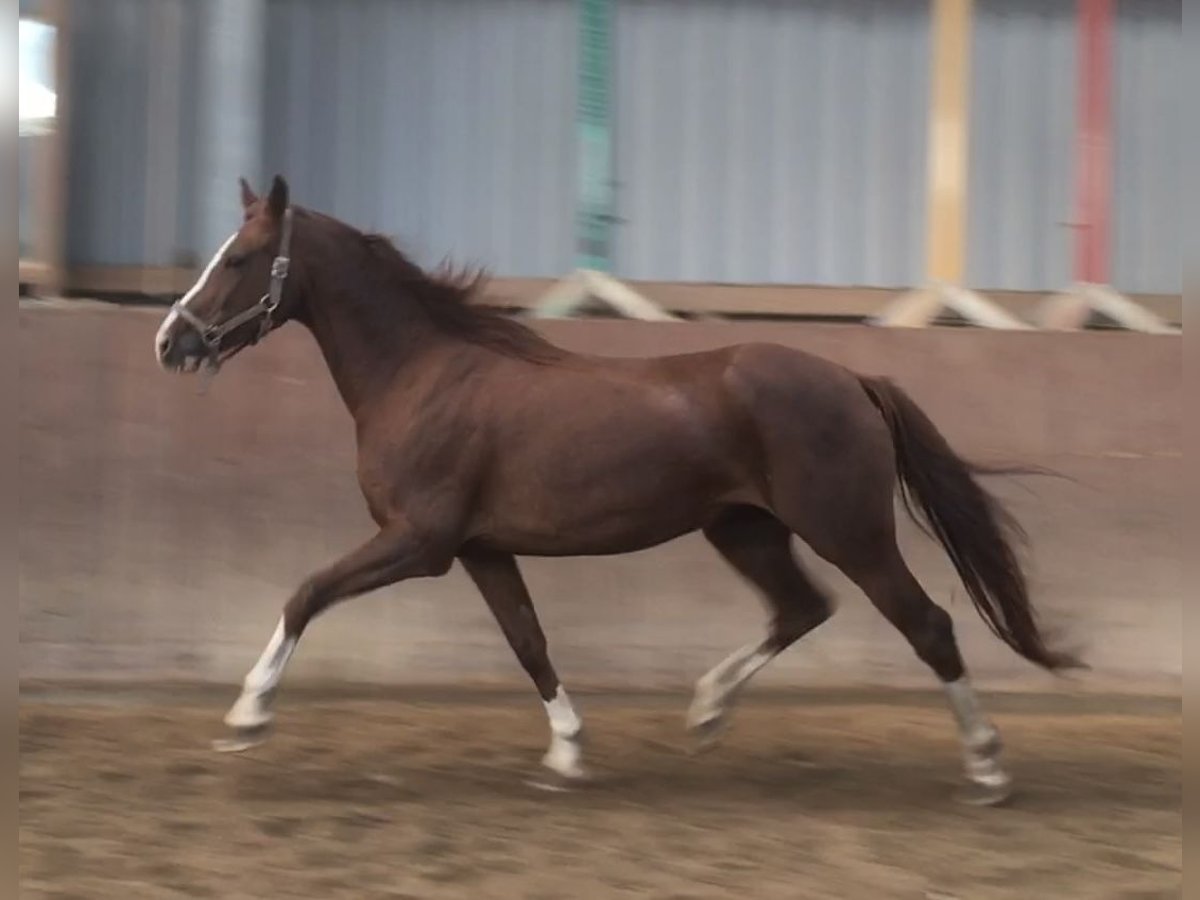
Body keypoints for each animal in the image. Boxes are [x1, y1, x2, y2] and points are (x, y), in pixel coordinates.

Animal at [152, 176, 1080, 801]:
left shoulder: (420, 542)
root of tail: (854, 379)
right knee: (801, 608)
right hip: (744, 529)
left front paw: (247, 719)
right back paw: (706, 713)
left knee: (926, 625)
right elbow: (530, 643)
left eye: (239, 259)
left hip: (849, 531)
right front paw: (568, 753)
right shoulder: (482, 550)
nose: (170, 342)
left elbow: (305, 593)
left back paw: (988, 767)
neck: (421, 374)